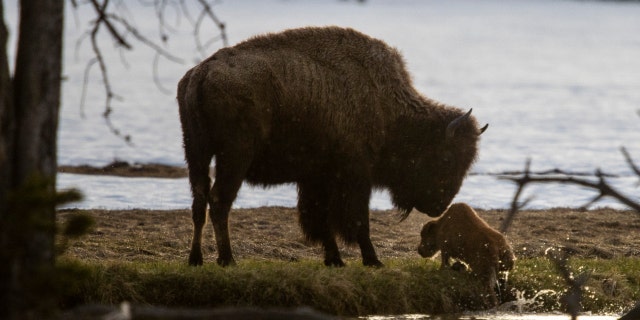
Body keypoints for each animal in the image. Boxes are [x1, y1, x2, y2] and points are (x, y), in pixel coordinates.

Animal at [178, 26, 488, 268]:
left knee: (199, 201)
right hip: (234, 157)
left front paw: (334, 259)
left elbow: (321, 219)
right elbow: (357, 221)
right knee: (219, 201)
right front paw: (372, 260)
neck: (384, 104)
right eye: (447, 157)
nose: (440, 204)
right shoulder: (354, 177)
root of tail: (201, 73)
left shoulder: (317, 178)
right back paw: (227, 259)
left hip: (196, 152)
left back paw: (196, 259)